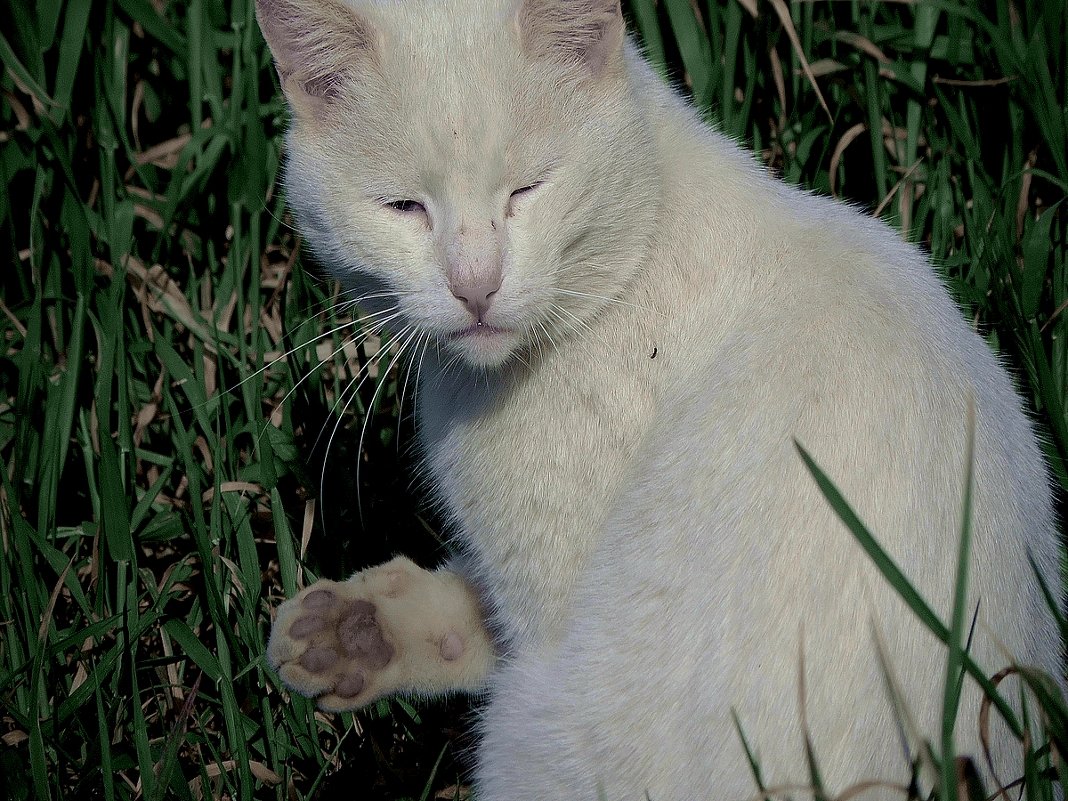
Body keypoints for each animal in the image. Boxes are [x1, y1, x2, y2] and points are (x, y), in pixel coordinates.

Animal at [254, 1, 1063, 798]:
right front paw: (355, 633)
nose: (475, 285)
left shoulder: (546, 594)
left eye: (527, 190)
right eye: (403, 207)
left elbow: (507, 629)